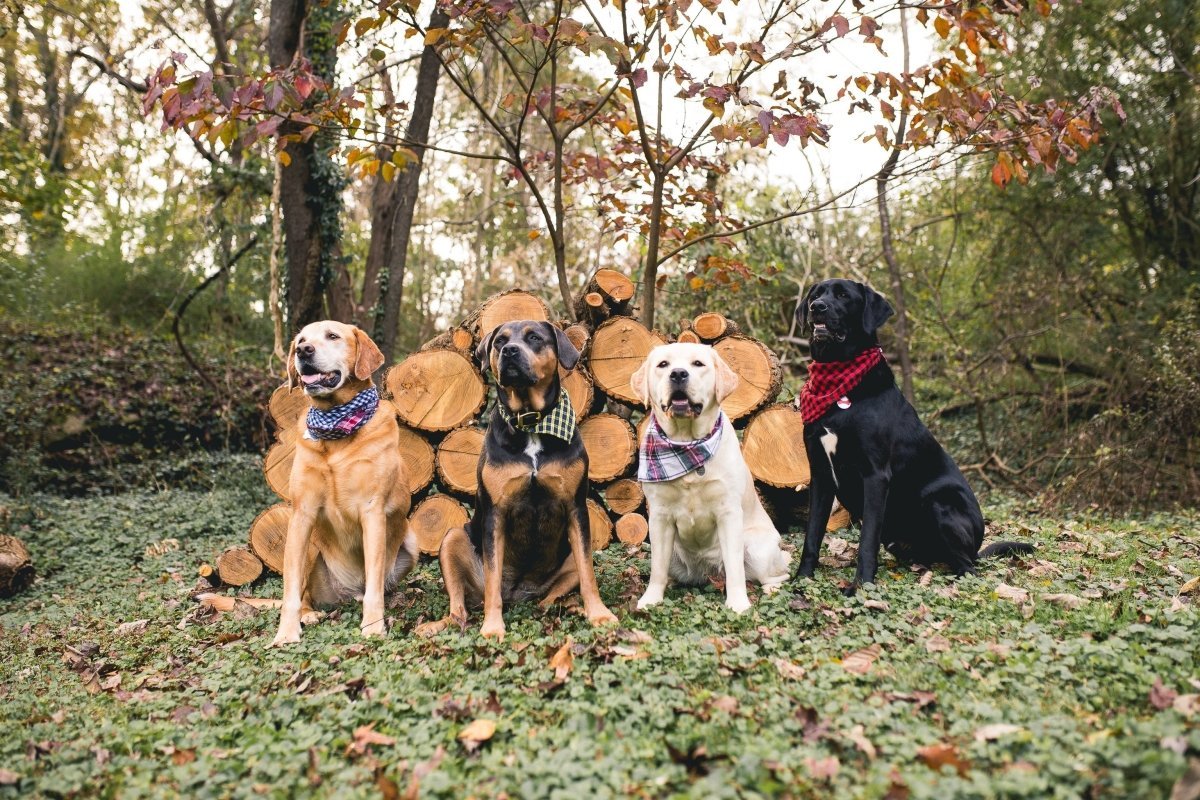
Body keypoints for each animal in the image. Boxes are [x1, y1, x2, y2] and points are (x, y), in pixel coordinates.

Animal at [200, 319, 417, 642]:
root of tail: (346, 592)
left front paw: (373, 627)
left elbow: (375, 586)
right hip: (310, 544)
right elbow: (289, 589)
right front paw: (286, 634)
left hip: (411, 541)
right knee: (304, 594)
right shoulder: (301, 515)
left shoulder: (373, 512)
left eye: (333, 336)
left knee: (373, 586)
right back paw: (309, 614)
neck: (336, 428)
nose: (304, 351)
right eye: (301, 340)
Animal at [415, 321, 619, 642]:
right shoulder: (495, 514)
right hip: (452, 539)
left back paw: (560, 606)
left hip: (568, 558)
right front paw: (492, 627)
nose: (510, 351)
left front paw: (599, 614)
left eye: (534, 337)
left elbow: (588, 573)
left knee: (553, 593)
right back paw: (438, 624)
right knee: (460, 608)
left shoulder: (576, 509)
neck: (532, 422)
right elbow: (492, 577)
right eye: (499, 341)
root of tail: (519, 593)